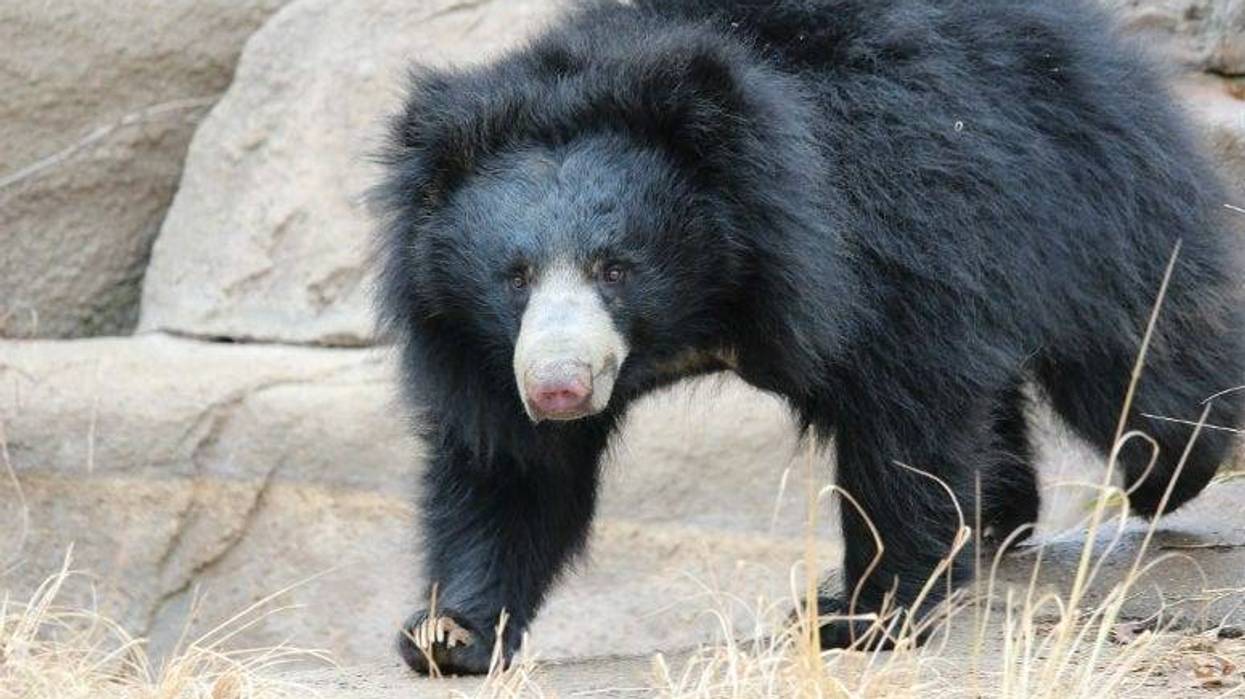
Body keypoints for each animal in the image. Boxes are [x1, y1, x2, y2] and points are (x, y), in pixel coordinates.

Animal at [373, 0, 1244, 675]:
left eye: (614, 267)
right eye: (514, 275)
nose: (557, 387)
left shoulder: (885, 233)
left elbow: (905, 422)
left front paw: (858, 616)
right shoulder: (473, 342)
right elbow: (513, 468)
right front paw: (449, 631)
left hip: (1075, 178)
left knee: (1134, 351)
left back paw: (1173, 466)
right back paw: (1000, 518)